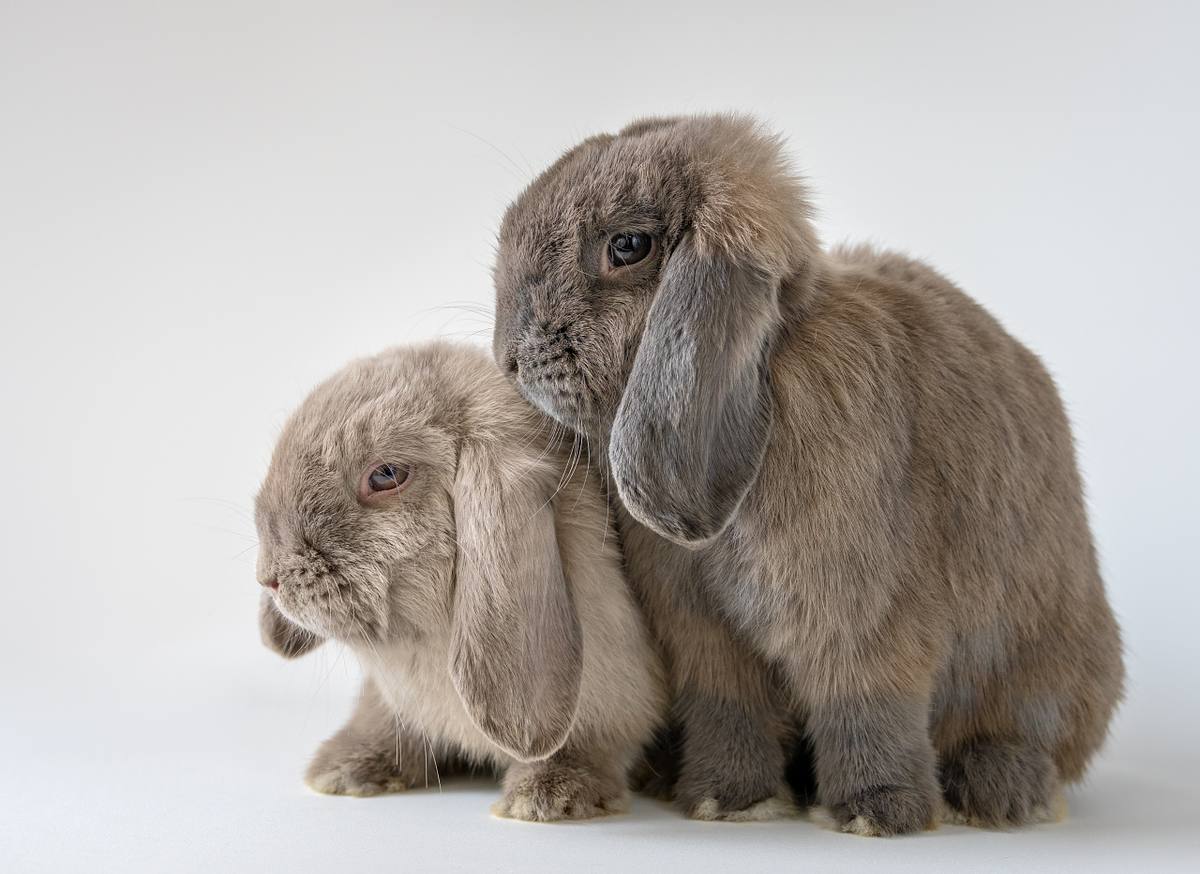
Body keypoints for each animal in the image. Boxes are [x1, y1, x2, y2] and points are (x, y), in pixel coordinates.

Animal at [491, 114, 1124, 834]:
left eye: (627, 246)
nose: (507, 358)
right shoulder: (705, 638)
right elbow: (729, 710)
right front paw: (728, 799)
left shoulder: (863, 620)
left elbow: (868, 707)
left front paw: (876, 813)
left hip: (1044, 666)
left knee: (1023, 727)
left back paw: (1002, 791)